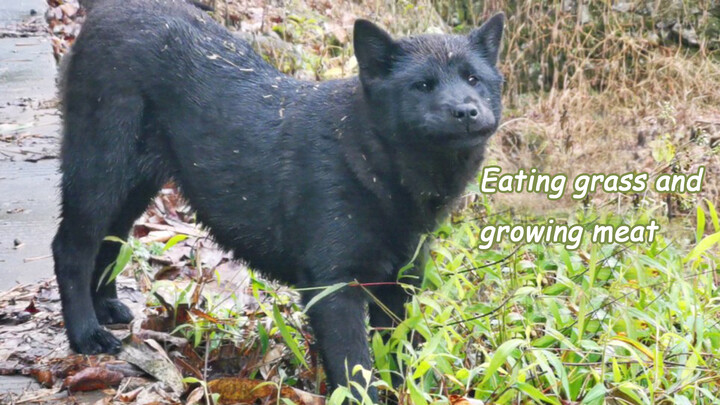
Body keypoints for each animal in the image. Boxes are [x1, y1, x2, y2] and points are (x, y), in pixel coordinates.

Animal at [52, 0, 500, 398]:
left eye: (473, 79)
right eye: (422, 85)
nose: (466, 111)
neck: (369, 157)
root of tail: (107, 10)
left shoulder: (398, 285)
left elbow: (396, 360)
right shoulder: (333, 288)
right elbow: (355, 373)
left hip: (134, 183)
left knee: (111, 239)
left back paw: (106, 307)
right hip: (100, 169)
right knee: (71, 247)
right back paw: (86, 333)